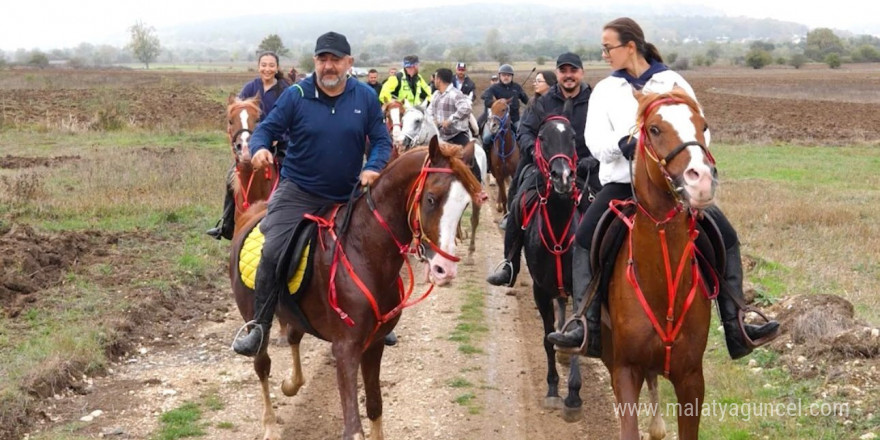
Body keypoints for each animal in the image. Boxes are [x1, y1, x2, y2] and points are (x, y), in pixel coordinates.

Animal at [227, 138, 482, 440]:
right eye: (431, 198)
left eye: (464, 205)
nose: (445, 269)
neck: (363, 251)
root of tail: (251, 213)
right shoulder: (346, 349)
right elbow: (354, 428)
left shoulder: (374, 344)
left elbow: (374, 406)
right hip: (252, 315)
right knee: (262, 363)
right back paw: (269, 424)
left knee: (293, 336)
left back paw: (292, 383)